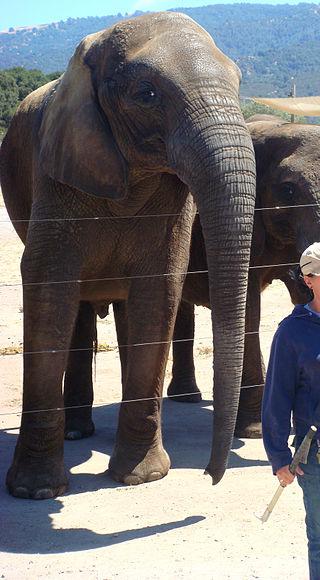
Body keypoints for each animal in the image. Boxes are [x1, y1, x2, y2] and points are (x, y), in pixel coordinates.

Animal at [0, 11, 256, 498]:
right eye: (146, 95)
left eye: (237, 82)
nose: (211, 477)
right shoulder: (56, 172)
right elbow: (49, 291)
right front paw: (35, 492)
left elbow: (157, 294)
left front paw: (142, 478)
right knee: (77, 311)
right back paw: (76, 433)